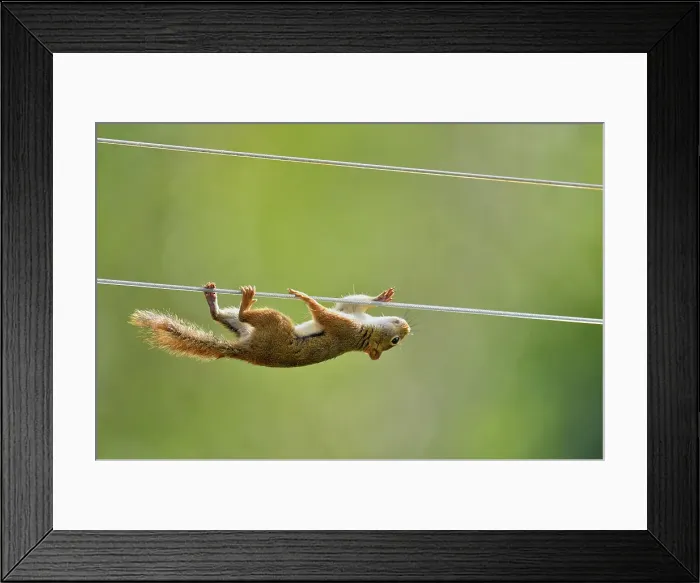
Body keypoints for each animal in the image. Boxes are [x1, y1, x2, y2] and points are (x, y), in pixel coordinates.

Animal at [129, 283, 411, 368]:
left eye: (394, 341)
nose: (406, 327)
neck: (366, 328)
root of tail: (249, 350)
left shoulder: (344, 328)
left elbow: (322, 315)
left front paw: (305, 298)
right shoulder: (349, 314)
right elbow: (352, 301)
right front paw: (381, 297)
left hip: (275, 323)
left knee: (244, 317)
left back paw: (245, 303)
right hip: (247, 330)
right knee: (226, 318)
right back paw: (213, 302)